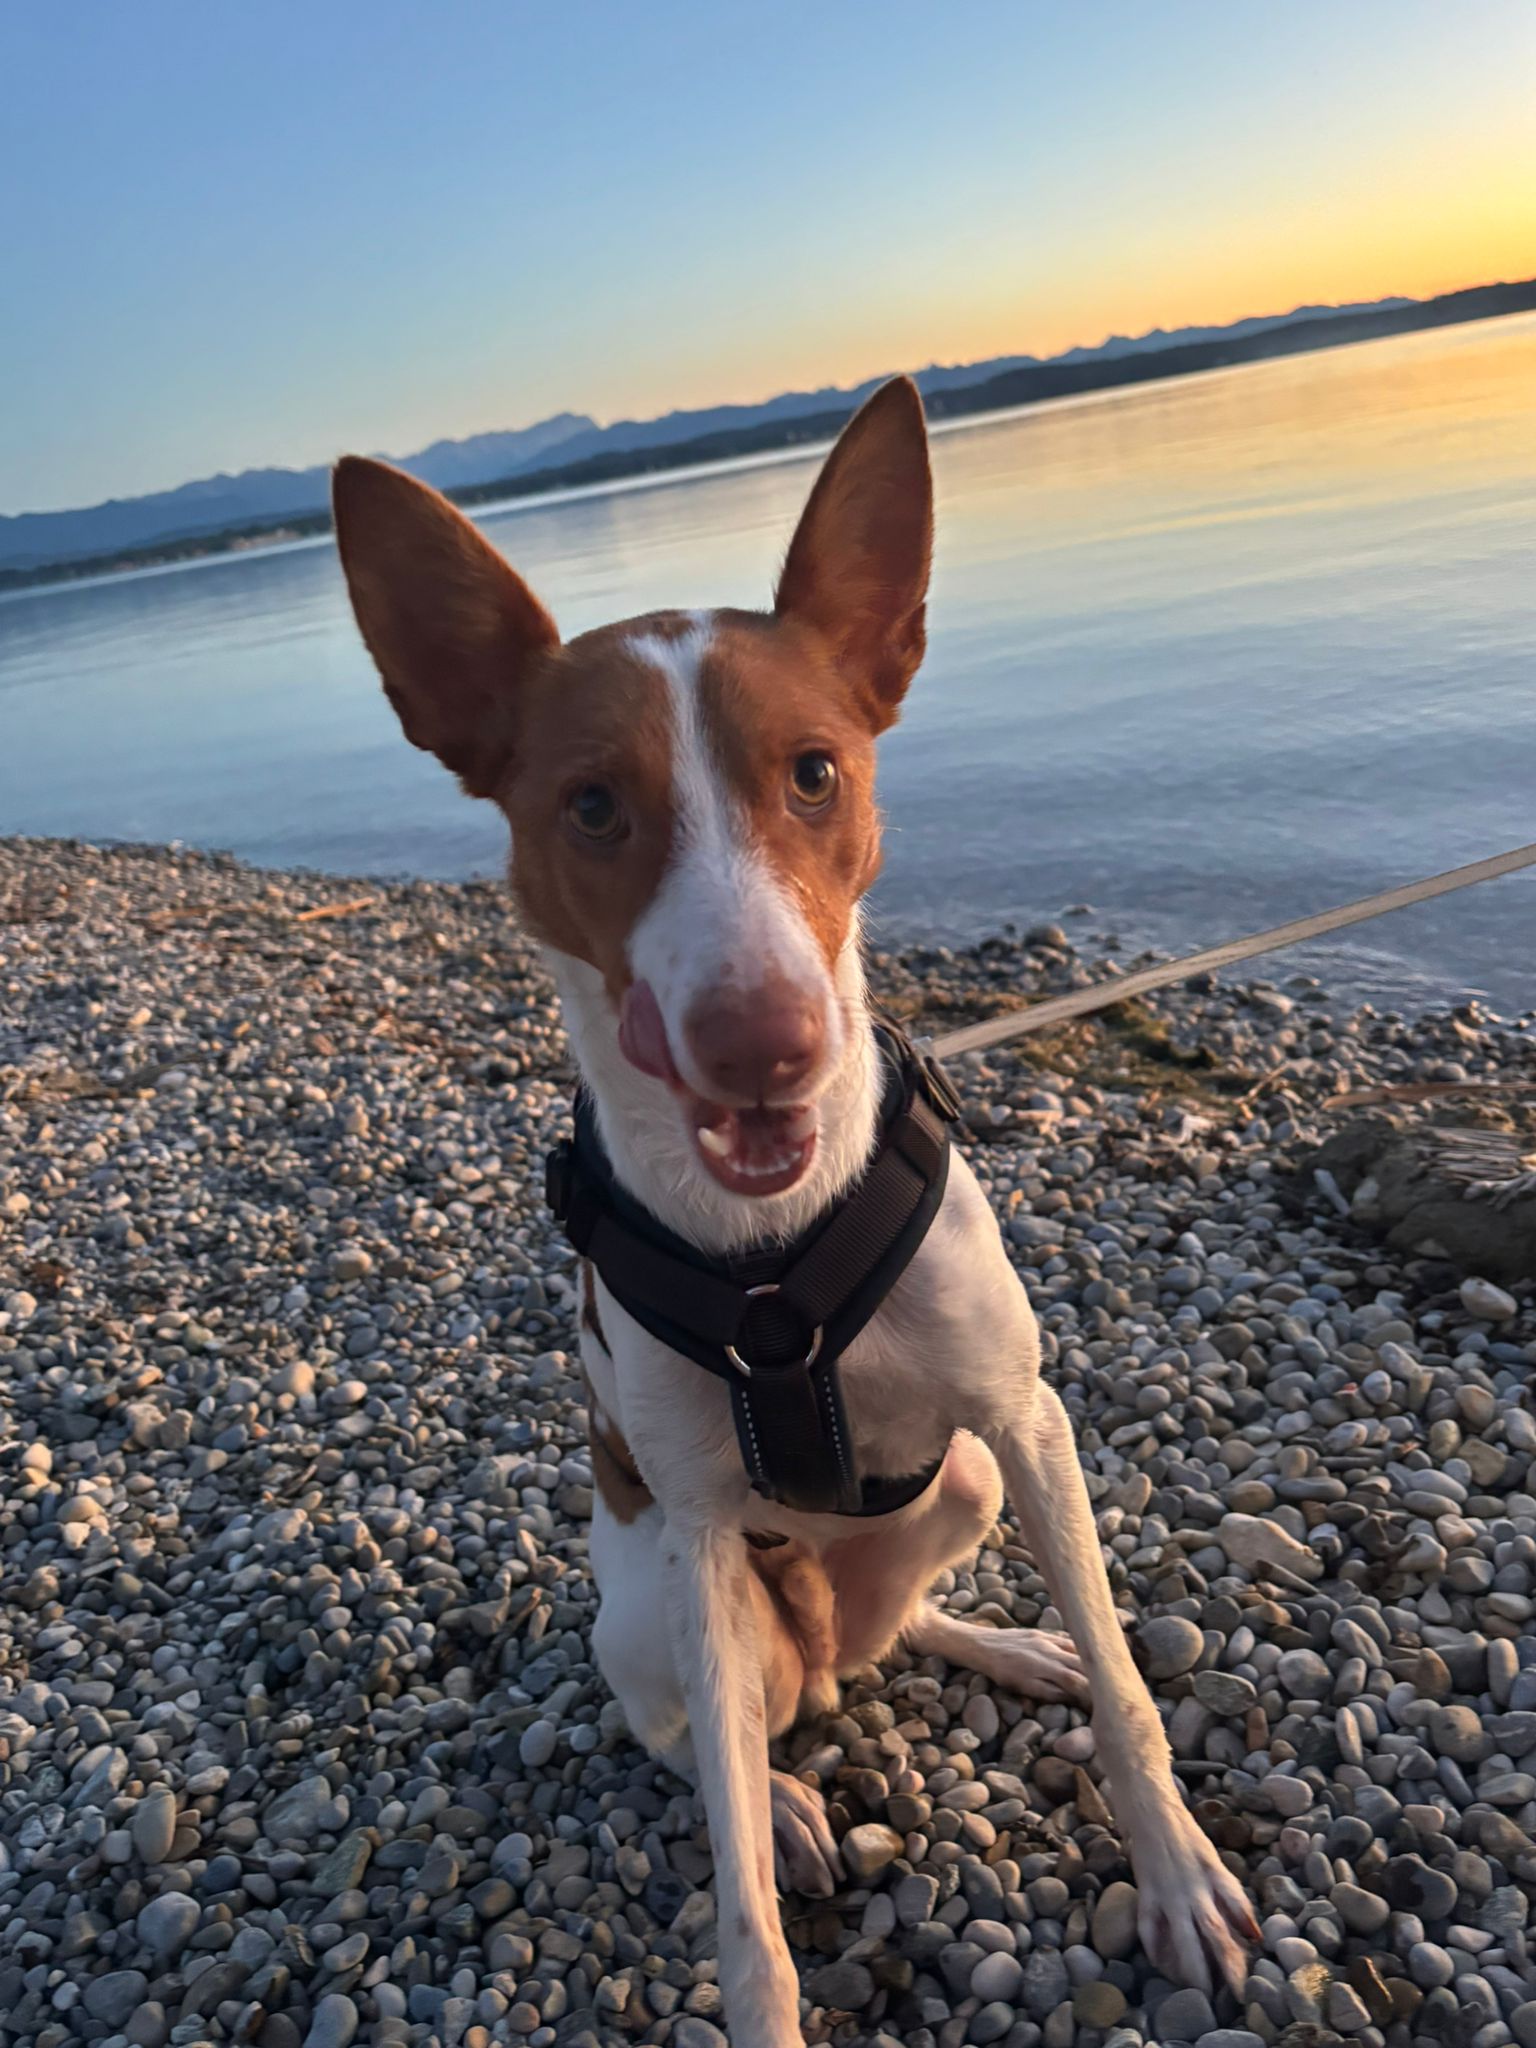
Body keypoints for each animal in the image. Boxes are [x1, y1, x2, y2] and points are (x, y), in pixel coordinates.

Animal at [333, 378, 1257, 2046]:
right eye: (591, 806)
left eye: (816, 771)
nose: (766, 1042)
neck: (775, 1260)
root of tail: (821, 1643)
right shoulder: (700, 1539)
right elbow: (738, 1898)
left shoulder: (1027, 1420)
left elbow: (1130, 1693)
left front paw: (1174, 1874)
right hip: (652, 1609)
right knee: (698, 1738)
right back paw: (785, 1791)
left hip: (964, 1484)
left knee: (910, 1622)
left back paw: (998, 1643)